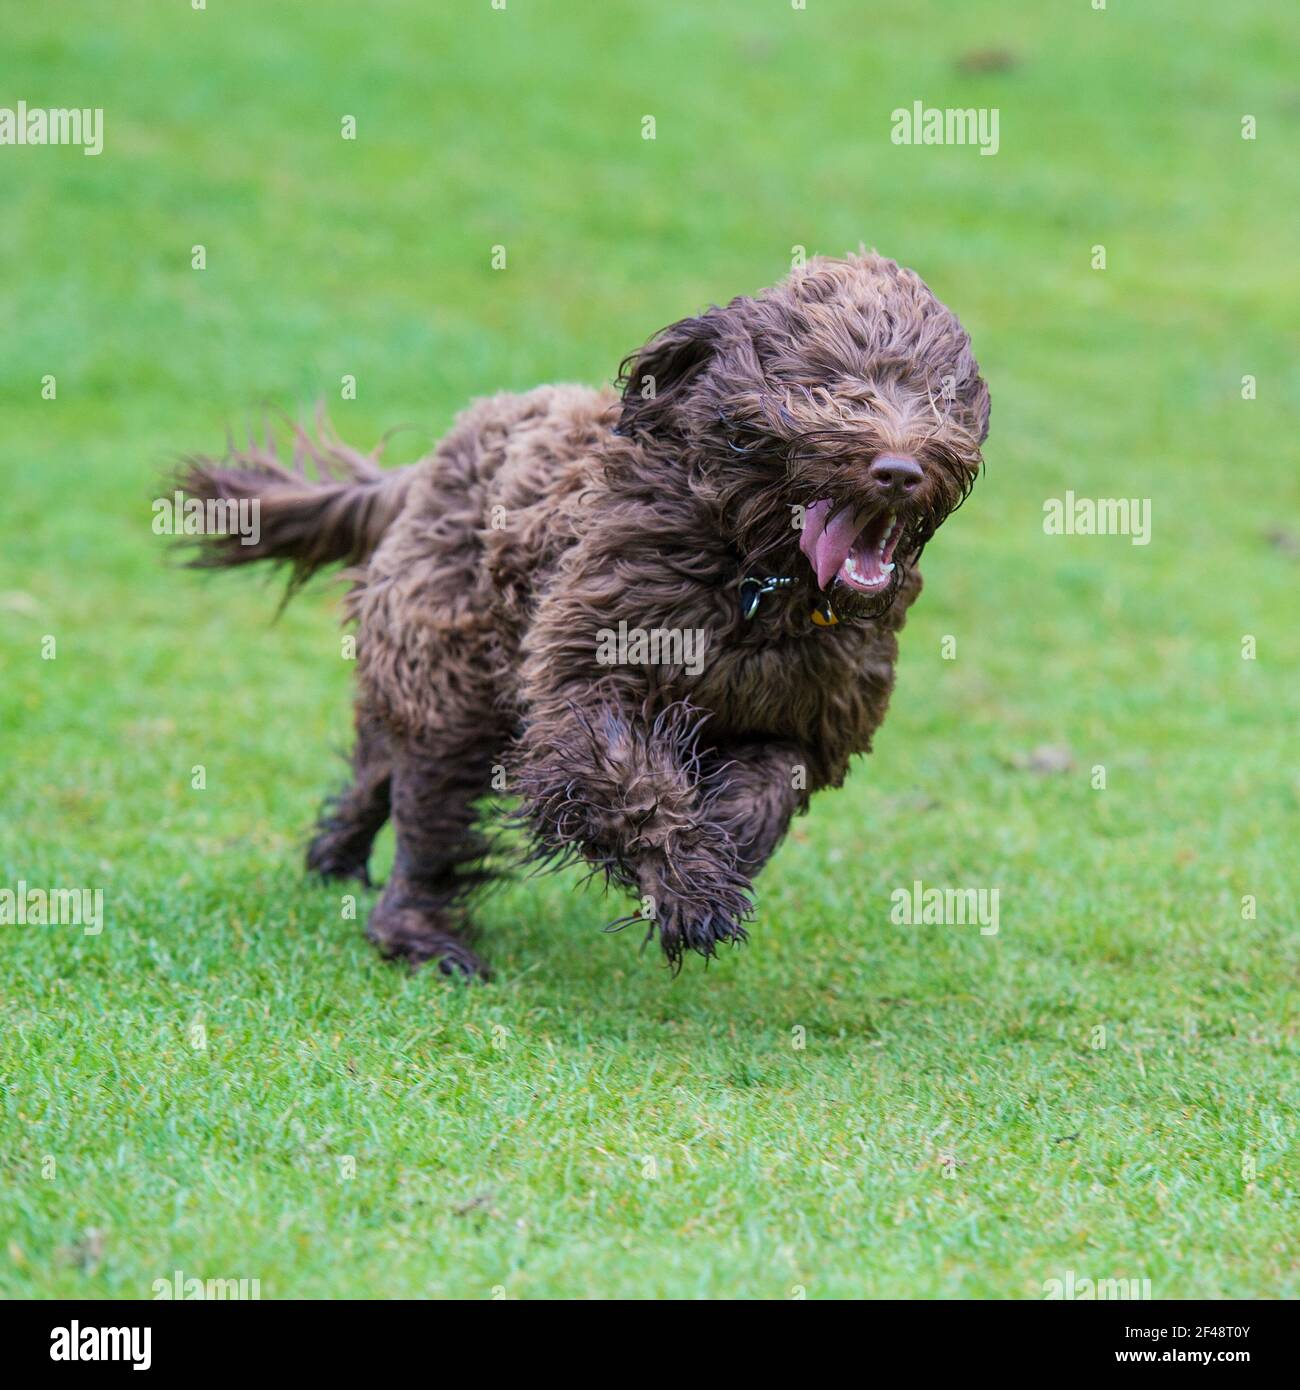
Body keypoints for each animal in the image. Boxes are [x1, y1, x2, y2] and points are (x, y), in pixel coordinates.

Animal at [177, 258, 989, 978]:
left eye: (939, 395)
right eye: (823, 385)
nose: (900, 470)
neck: (753, 575)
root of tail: (427, 466)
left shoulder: (808, 715)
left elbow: (765, 788)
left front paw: (717, 846)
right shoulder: (588, 673)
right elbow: (633, 779)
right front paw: (689, 888)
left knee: (380, 768)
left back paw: (337, 857)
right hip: (452, 666)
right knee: (429, 801)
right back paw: (420, 935)